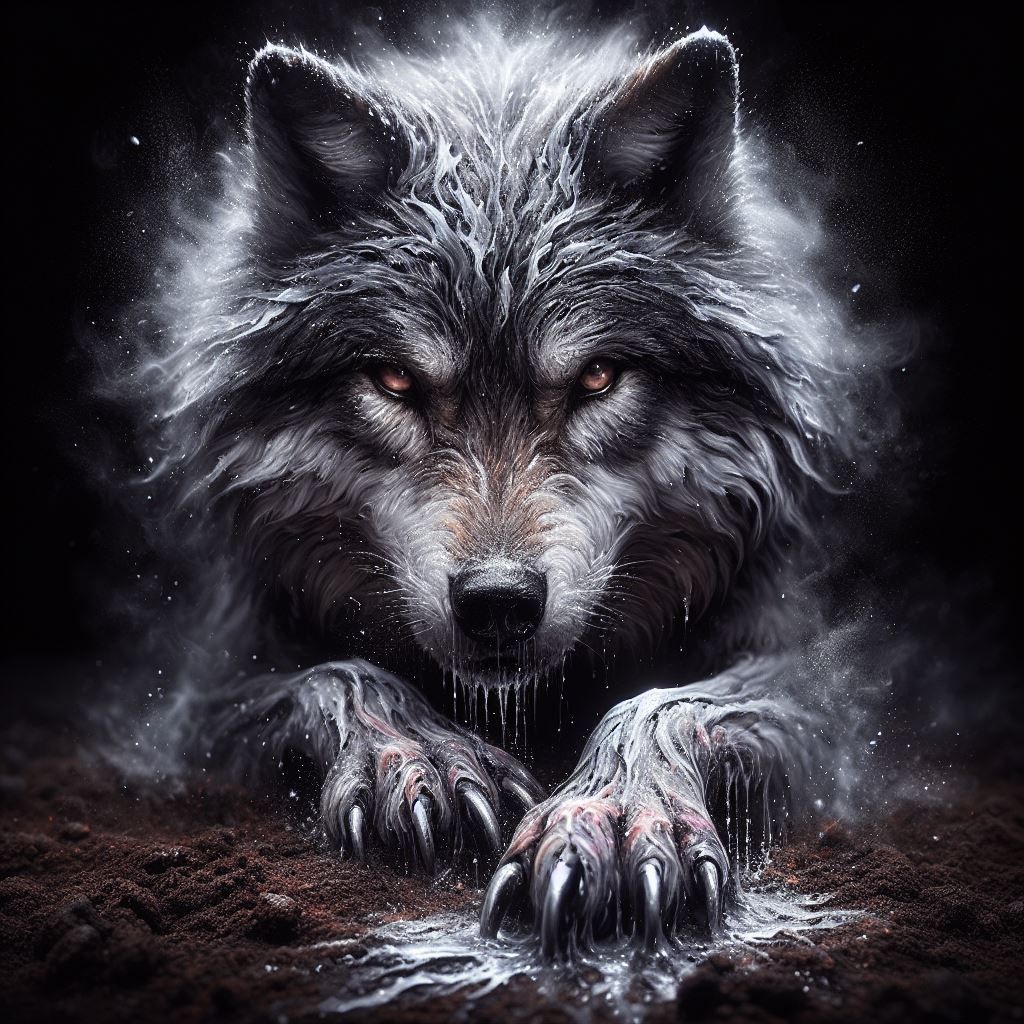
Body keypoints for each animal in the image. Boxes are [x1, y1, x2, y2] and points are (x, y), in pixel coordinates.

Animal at [123, 21, 871, 957]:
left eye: (597, 377)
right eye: (395, 381)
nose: (498, 602)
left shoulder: (829, 699)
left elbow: (668, 701)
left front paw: (614, 815)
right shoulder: (187, 703)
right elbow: (337, 673)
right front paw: (416, 756)